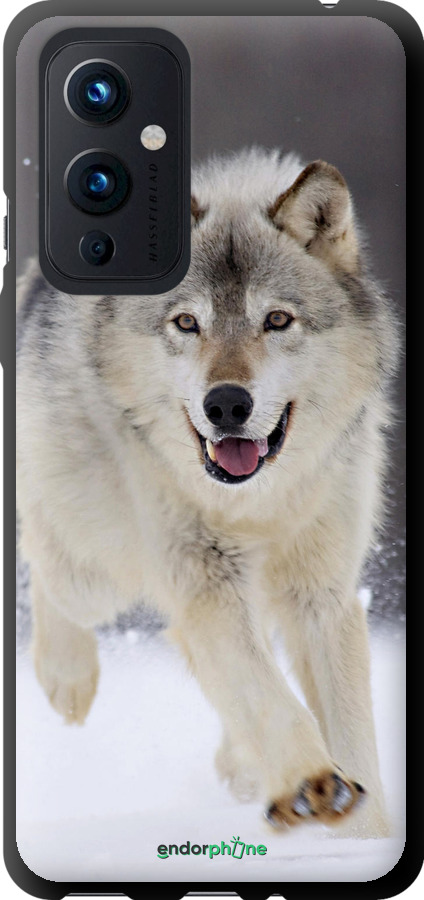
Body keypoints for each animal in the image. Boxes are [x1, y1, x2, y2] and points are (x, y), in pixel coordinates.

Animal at [17, 148, 398, 837]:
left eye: (277, 320)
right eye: (187, 323)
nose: (226, 404)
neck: (258, 503)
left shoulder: (321, 594)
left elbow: (351, 733)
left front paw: (364, 835)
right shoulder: (205, 580)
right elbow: (268, 695)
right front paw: (311, 783)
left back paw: (242, 766)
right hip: (97, 571)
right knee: (46, 563)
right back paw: (67, 679)